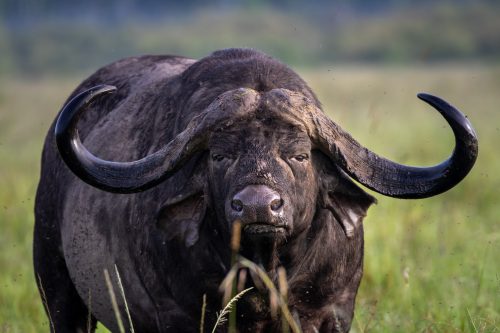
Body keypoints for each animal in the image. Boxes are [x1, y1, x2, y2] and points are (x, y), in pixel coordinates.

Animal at [33, 48, 478, 330]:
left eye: (299, 155)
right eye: (219, 156)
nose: (258, 208)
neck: (266, 273)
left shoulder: (332, 312)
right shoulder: (176, 317)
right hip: (57, 291)